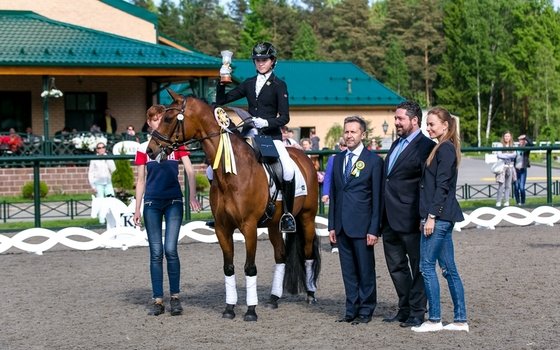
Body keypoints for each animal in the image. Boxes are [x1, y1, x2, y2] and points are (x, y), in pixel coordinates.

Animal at [147, 91, 322, 322]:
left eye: (168, 119)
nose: (150, 150)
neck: (233, 173)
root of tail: (303, 157)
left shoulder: (249, 227)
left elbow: (250, 268)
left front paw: (250, 311)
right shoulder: (222, 228)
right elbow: (228, 268)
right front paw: (229, 309)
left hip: (307, 218)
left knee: (308, 253)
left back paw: (311, 295)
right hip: (274, 225)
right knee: (281, 256)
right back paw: (274, 298)